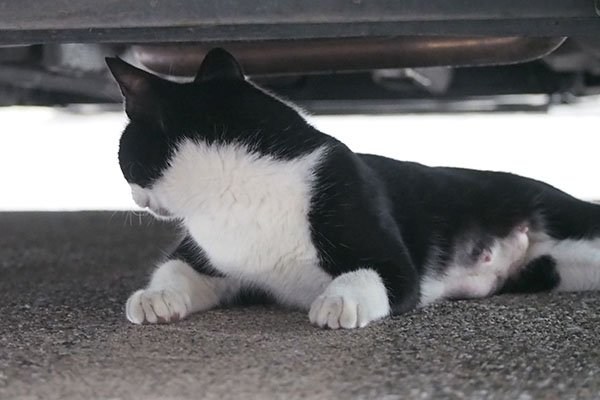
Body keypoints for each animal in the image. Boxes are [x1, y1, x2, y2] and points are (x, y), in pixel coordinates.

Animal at [106, 48, 600, 330]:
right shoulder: (212, 257)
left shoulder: (392, 260)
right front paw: (155, 299)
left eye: (124, 153)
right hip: (553, 269)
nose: (133, 198)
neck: (240, 189)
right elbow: (176, 269)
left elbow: (372, 274)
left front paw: (337, 302)